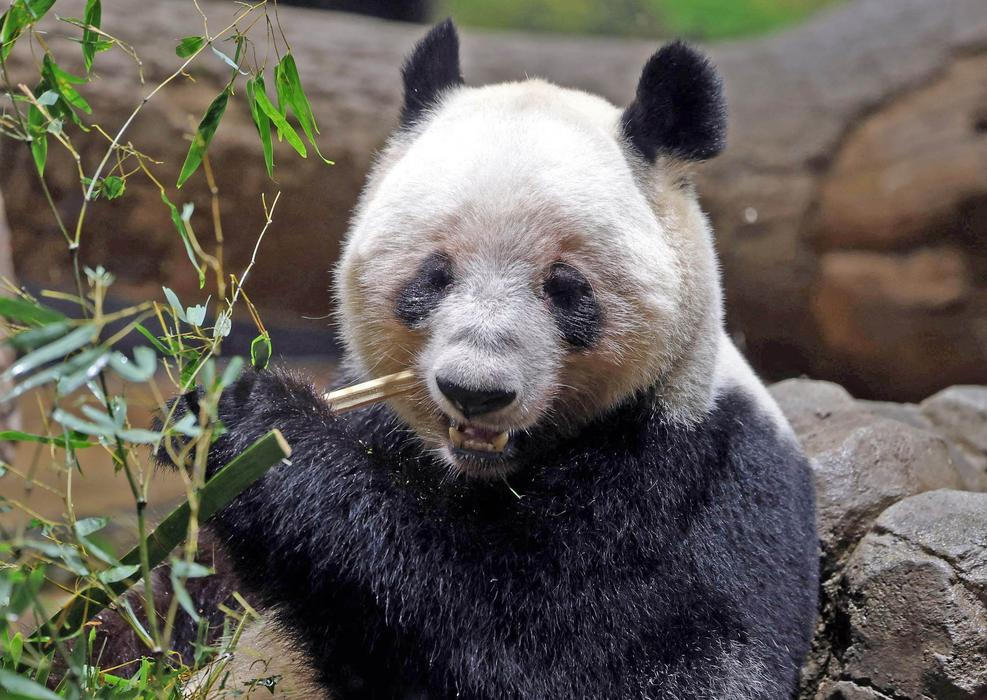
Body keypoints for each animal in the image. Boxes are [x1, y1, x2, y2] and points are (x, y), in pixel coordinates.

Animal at [176, 19, 819, 699]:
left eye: (565, 288)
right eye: (433, 276)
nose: (475, 391)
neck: (482, 470)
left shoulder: (677, 486)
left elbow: (536, 650)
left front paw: (259, 422)